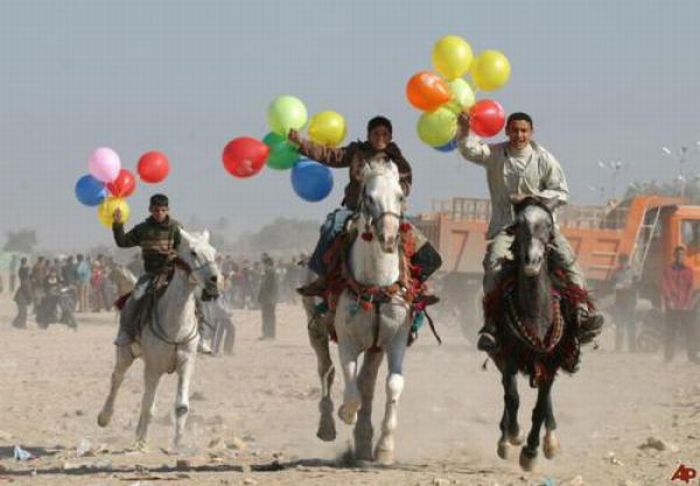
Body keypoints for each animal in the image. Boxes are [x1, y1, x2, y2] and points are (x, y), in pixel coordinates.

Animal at [98, 230, 221, 450]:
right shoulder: (153, 366)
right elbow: (147, 404)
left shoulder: (186, 362)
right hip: (126, 354)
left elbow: (180, 406)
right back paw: (105, 417)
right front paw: (140, 441)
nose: (214, 281)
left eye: (214, 251)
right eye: (193, 252)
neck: (175, 323)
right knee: (117, 379)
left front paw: (178, 443)